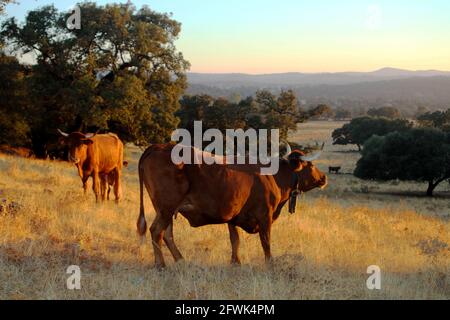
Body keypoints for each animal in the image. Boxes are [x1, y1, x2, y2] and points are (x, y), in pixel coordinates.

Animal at [136, 144, 326, 268]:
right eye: (311, 165)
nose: (324, 178)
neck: (273, 176)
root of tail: (159, 146)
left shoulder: (233, 216)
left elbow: (235, 240)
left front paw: (235, 262)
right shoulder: (265, 216)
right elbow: (266, 242)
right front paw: (270, 263)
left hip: (165, 210)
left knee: (167, 234)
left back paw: (180, 260)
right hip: (166, 208)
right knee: (156, 231)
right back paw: (161, 265)